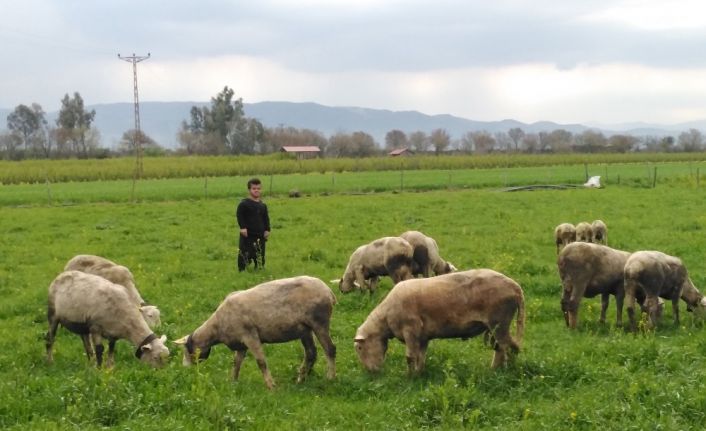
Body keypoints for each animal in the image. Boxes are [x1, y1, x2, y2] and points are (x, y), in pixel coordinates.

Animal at [173, 276, 332, 392]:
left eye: (186, 350)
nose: (185, 369)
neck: (216, 329)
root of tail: (328, 291)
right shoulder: (241, 343)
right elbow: (236, 362)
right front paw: (233, 381)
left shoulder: (250, 336)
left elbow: (261, 362)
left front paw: (271, 386)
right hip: (305, 329)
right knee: (311, 353)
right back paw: (301, 379)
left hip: (320, 323)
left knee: (330, 349)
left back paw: (331, 377)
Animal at [352, 270, 524, 374]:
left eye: (360, 348)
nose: (371, 372)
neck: (386, 319)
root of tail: (516, 288)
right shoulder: (422, 336)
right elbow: (421, 356)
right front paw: (419, 374)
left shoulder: (411, 330)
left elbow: (410, 356)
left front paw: (409, 377)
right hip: (497, 325)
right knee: (504, 347)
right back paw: (500, 370)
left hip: (499, 322)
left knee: (508, 347)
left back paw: (503, 371)